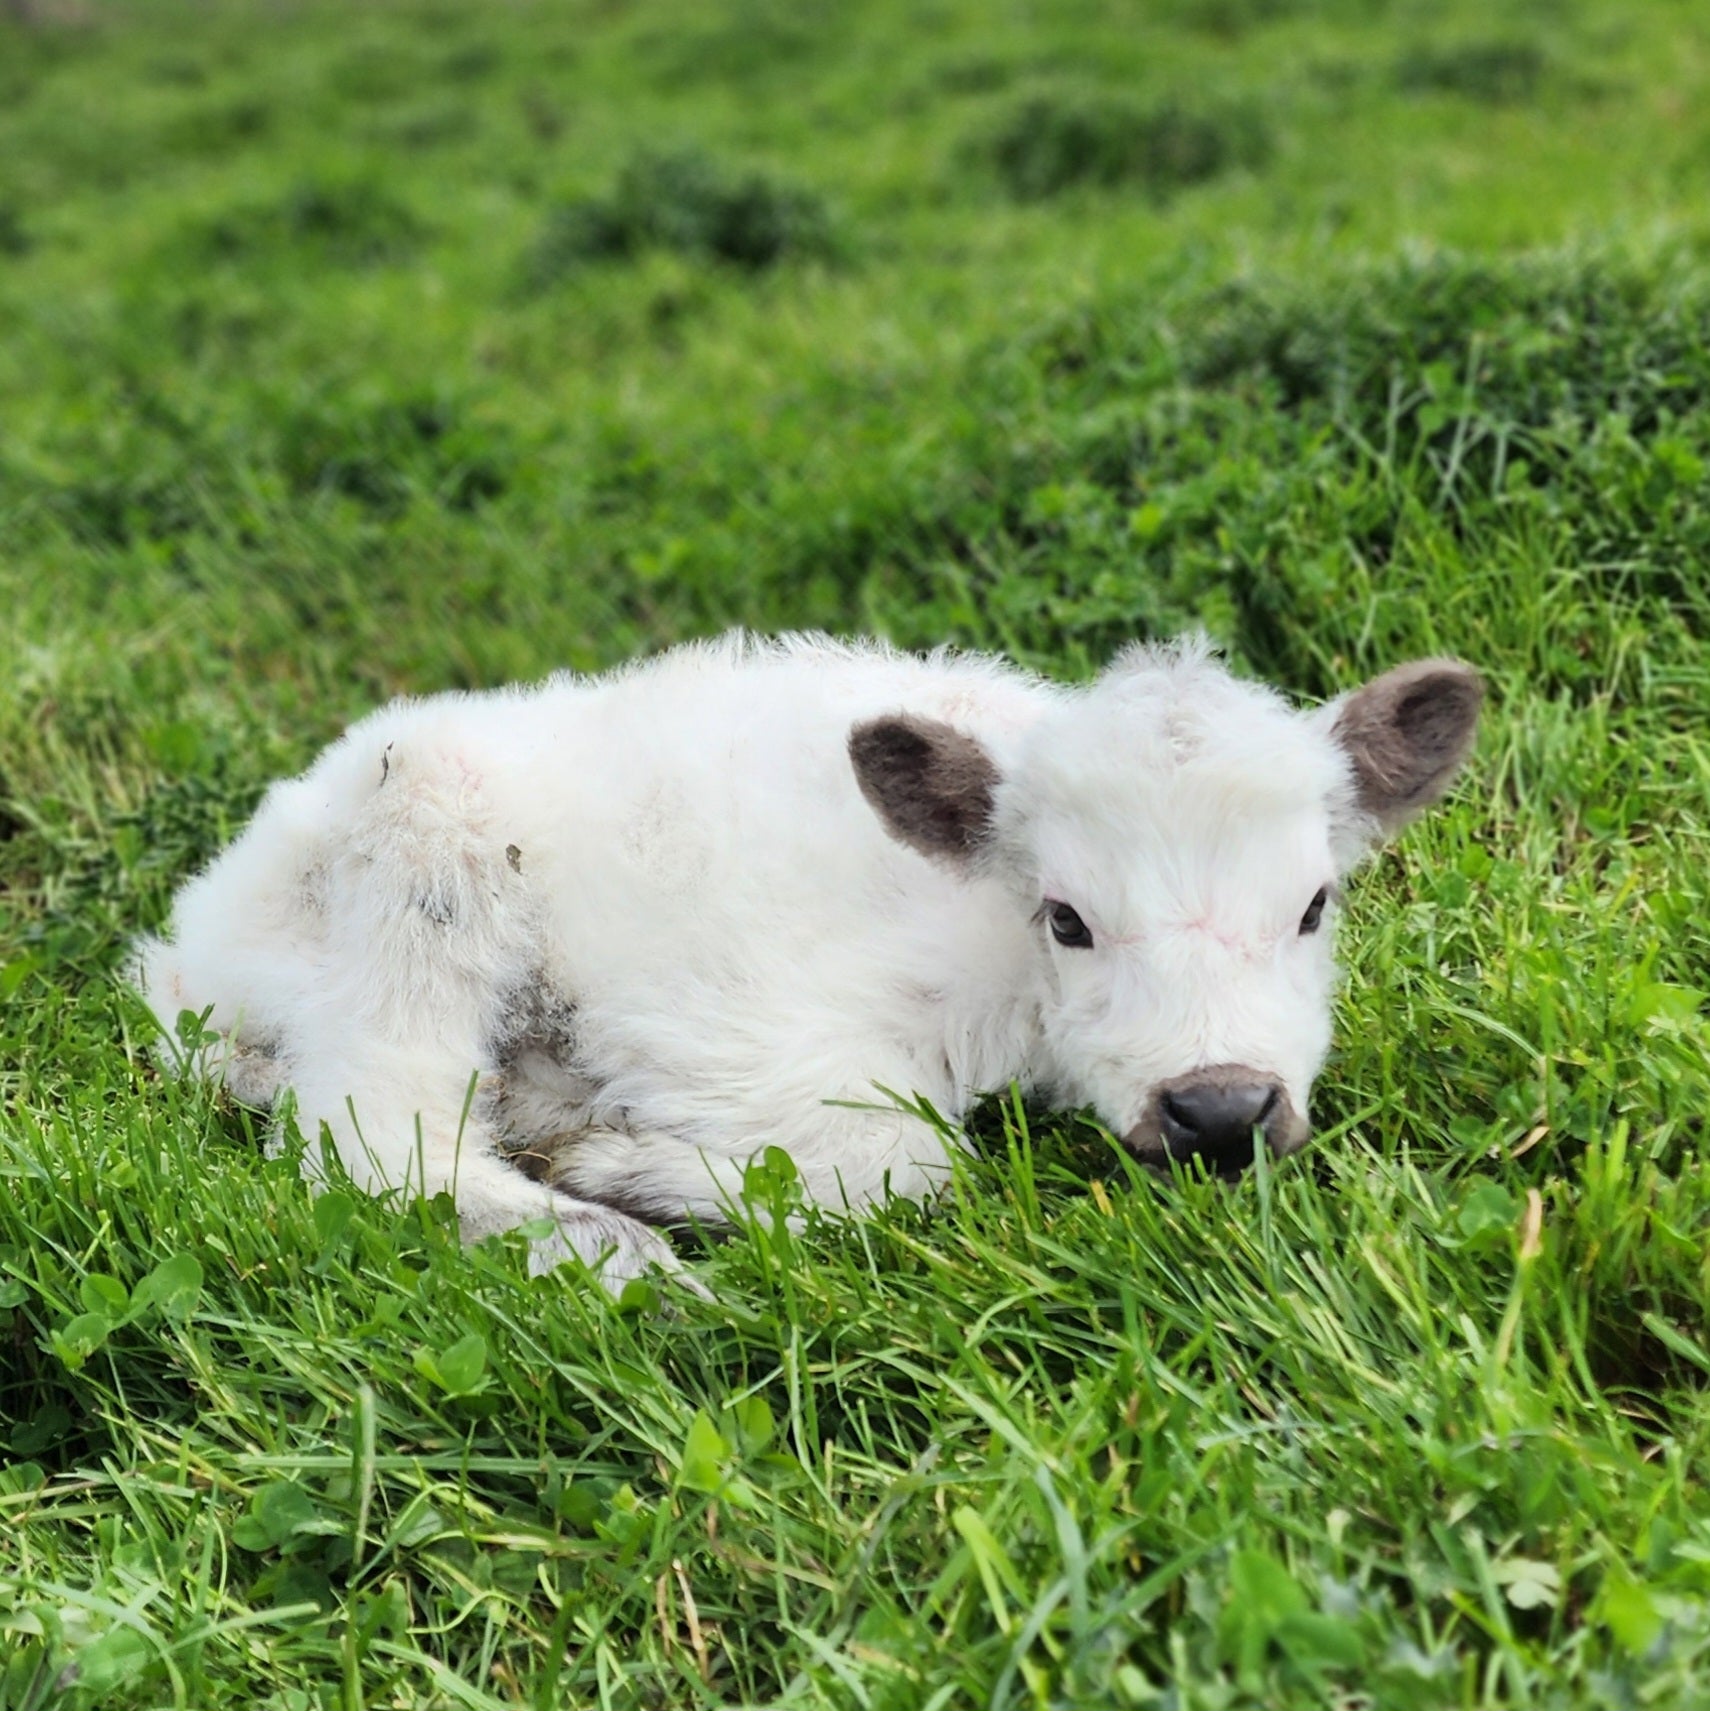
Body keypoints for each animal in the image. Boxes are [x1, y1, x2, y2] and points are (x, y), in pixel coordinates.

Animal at [136, 636, 1485, 1286]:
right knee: (370, 1126)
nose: (1218, 1107)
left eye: (1313, 905)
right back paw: (607, 1246)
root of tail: (186, 943)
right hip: (425, 846)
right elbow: (911, 1164)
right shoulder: (729, 1027)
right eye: (1067, 919)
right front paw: (636, 1169)